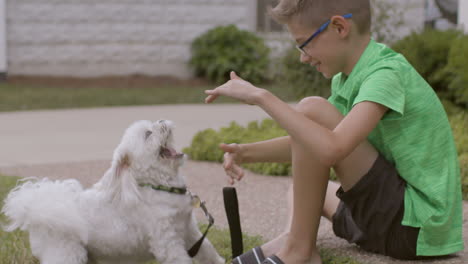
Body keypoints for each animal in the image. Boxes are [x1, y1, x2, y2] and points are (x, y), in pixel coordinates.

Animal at [1, 120, 225, 264]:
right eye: (148, 134)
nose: (162, 120)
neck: (160, 187)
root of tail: (36, 209)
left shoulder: (189, 232)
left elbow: (209, 252)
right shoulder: (168, 243)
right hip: (64, 253)